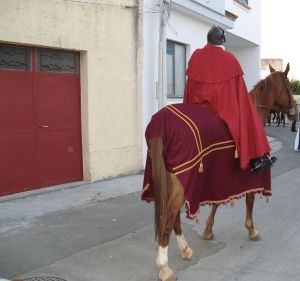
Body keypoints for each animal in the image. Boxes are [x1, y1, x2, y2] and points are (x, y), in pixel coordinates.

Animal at [144, 63, 298, 280]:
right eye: (290, 87)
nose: (294, 110)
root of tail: (162, 122)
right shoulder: (249, 175)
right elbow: (249, 200)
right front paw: (252, 230)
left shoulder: (221, 180)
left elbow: (217, 203)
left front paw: (208, 230)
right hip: (179, 185)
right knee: (169, 218)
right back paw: (165, 267)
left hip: (168, 182)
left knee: (173, 219)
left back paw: (185, 250)